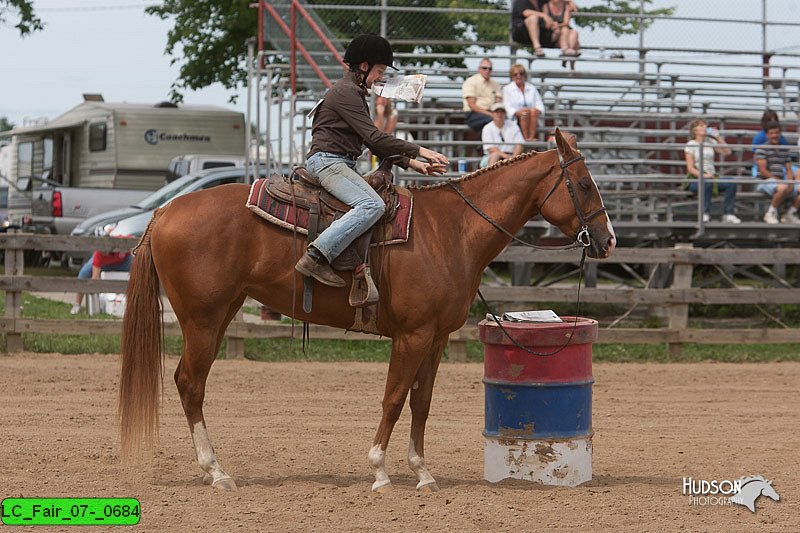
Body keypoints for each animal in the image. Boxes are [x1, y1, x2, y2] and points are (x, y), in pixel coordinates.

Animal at [119, 129, 616, 490]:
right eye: (584, 184)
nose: (608, 240)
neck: (452, 230)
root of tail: (164, 211)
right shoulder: (413, 335)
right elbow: (394, 398)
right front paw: (379, 470)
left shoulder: (436, 337)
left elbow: (421, 401)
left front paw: (422, 472)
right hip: (202, 319)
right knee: (190, 383)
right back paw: (216, 471)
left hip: (223, 313)